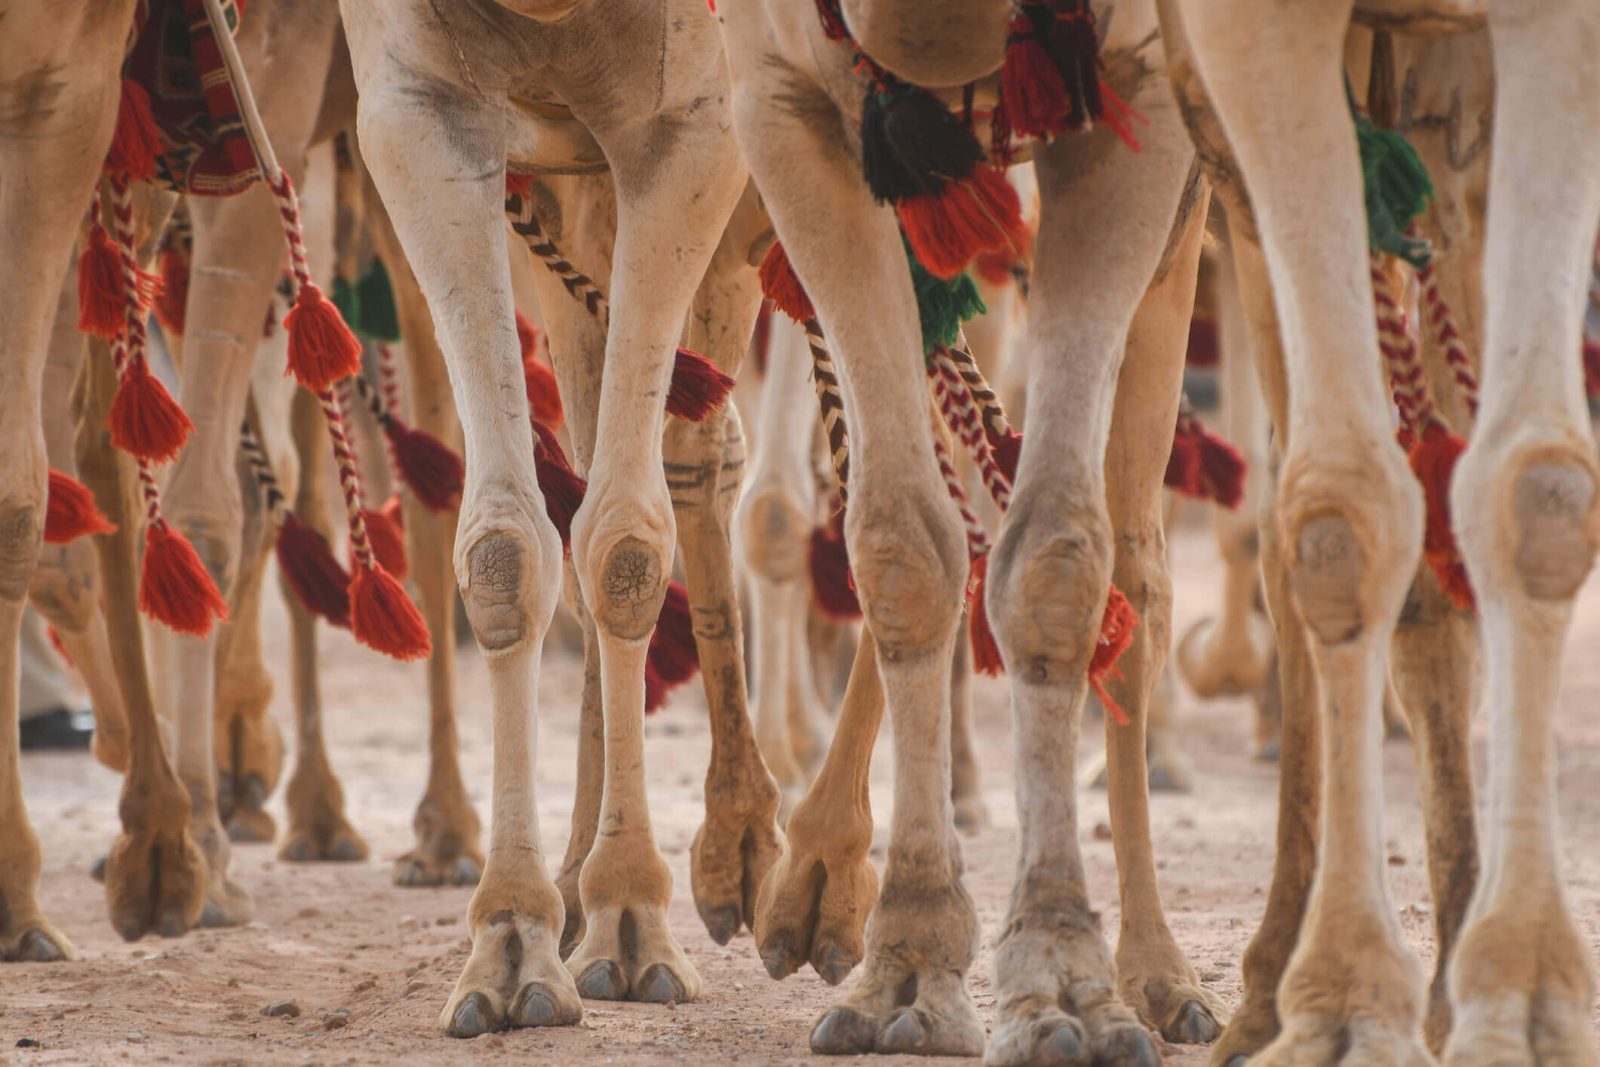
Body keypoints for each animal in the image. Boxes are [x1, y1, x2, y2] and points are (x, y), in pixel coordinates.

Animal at [1162, 2, 1600, 1063]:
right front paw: (1348, 997)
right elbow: (1342, 515)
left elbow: (1533, 483)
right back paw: (1263, 988)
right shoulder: (1242, 41)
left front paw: (1523, 992)